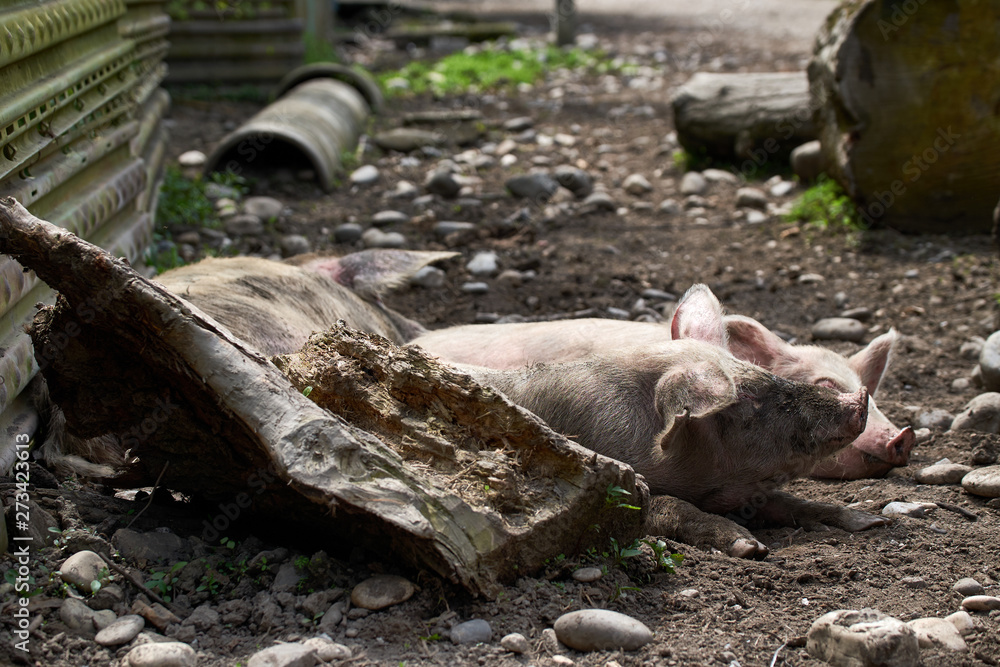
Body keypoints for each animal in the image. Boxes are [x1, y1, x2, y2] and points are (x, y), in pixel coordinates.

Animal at [452, 285, 886, 558]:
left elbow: (792, 501)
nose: (859, 398)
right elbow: (671, 507)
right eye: (748, 397)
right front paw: (751, 548)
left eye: (763, 372)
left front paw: (871, 521)